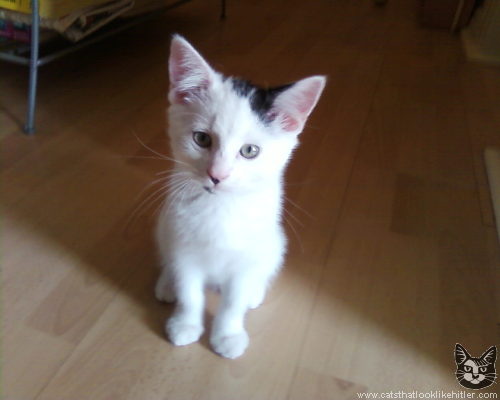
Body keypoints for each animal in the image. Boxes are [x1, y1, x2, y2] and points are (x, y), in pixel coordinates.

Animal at [154, 35, 325, 359]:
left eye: (250, 151)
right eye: (201, 138)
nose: (216, 175)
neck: (220, 206)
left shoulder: (247, 257)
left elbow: (233, 301)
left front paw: (228, 335)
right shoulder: (184, 249)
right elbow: (189, 291)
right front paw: (185, 324)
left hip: (274, 242)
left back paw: (254, 293)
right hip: (165, 227)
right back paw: (166, 284)